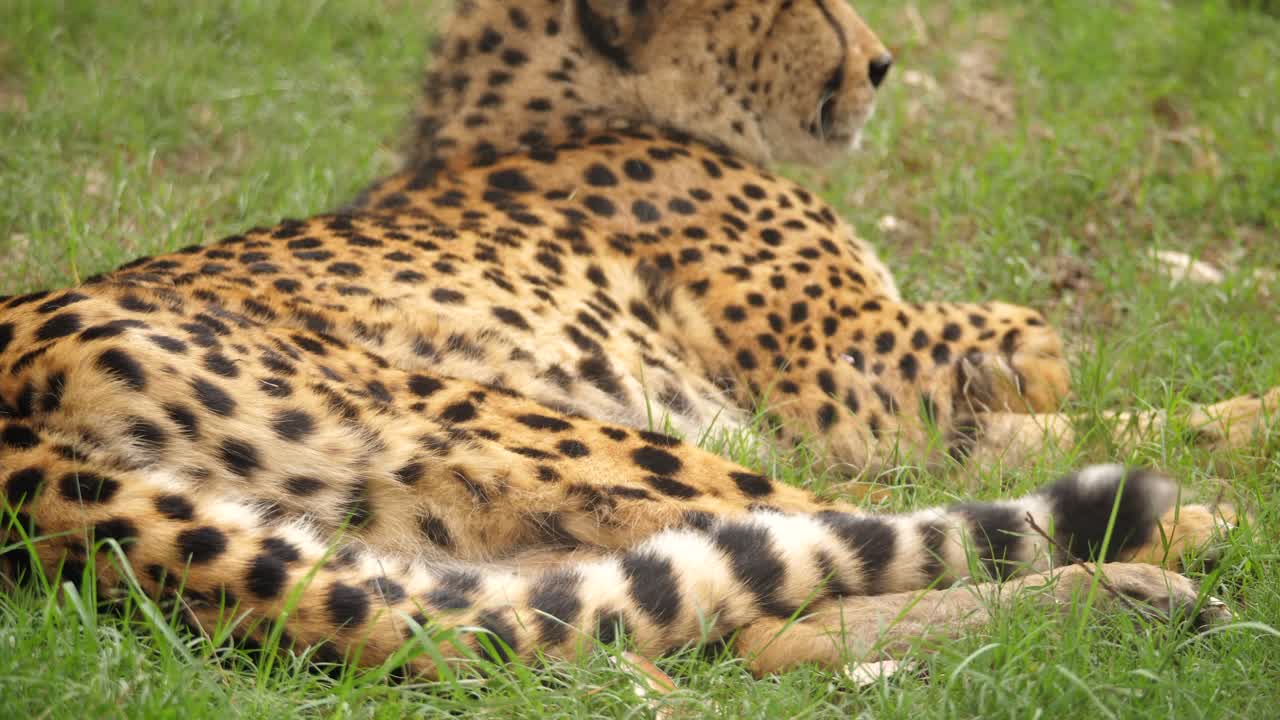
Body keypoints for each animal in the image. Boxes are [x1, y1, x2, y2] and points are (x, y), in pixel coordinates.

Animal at [1, 0, 1271, 679]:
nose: (879, 62)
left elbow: (1110, 415)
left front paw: (1238, 419)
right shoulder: (854, 384)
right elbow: (1043, 353)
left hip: (454, 541)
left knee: (728, 617)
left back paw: (1134, 597)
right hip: (563, 438)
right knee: (805, 575)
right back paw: (1182, 549)